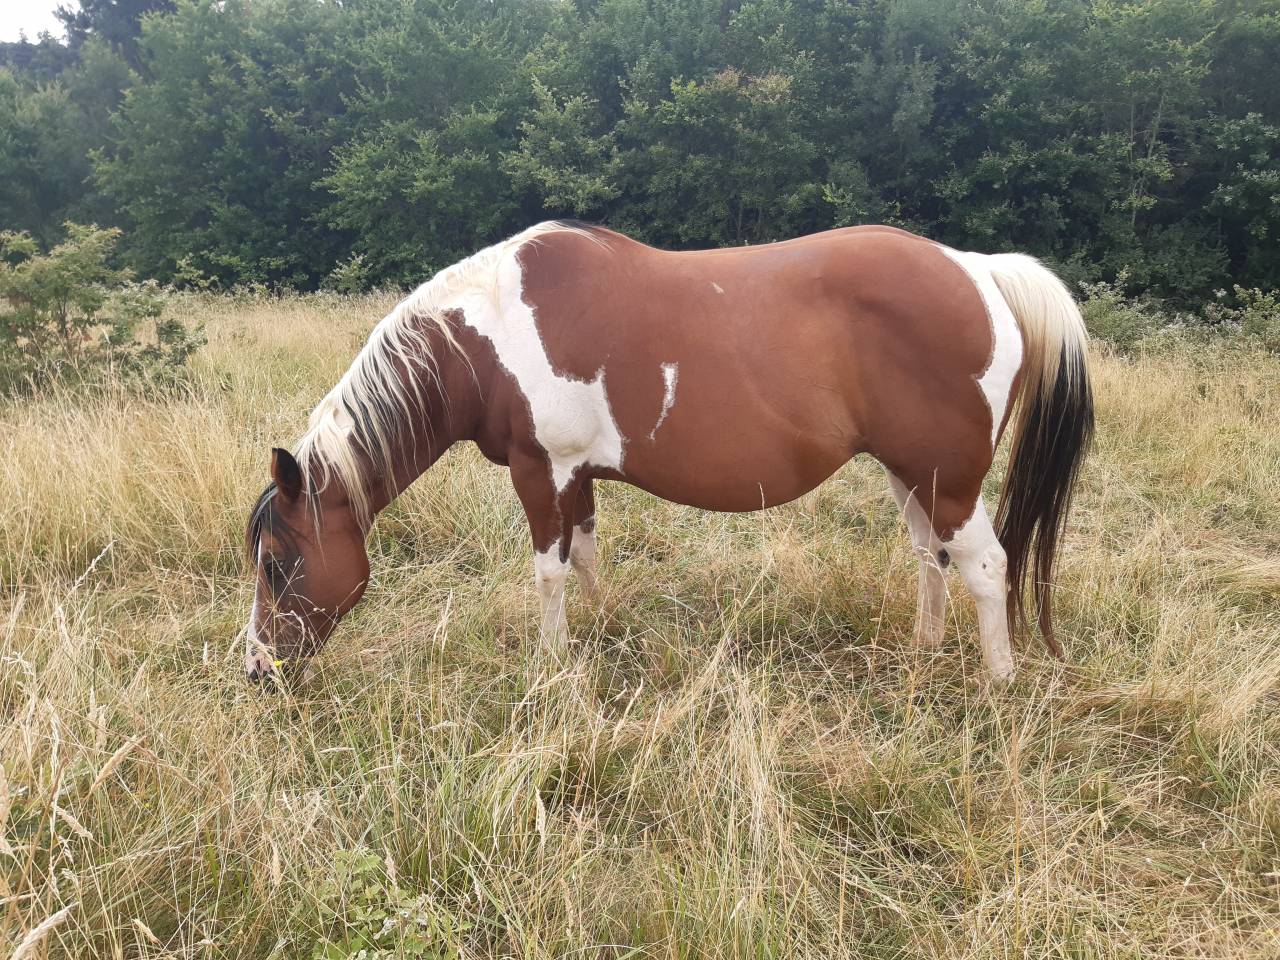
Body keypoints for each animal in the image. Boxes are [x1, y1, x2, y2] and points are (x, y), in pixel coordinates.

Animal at [243, 221, 1093, 686]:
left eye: (277, 565)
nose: (257, 670)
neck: (482, 339)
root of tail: (980, 269)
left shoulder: (540, 471)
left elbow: (547, 569)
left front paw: (552, 663)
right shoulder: (576, 475)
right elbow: (585, 555)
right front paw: (603, 629)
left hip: (949, 478)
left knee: (985, 566)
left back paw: (996, 682)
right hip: (910, 474)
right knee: (929, 556)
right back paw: (923, 648)